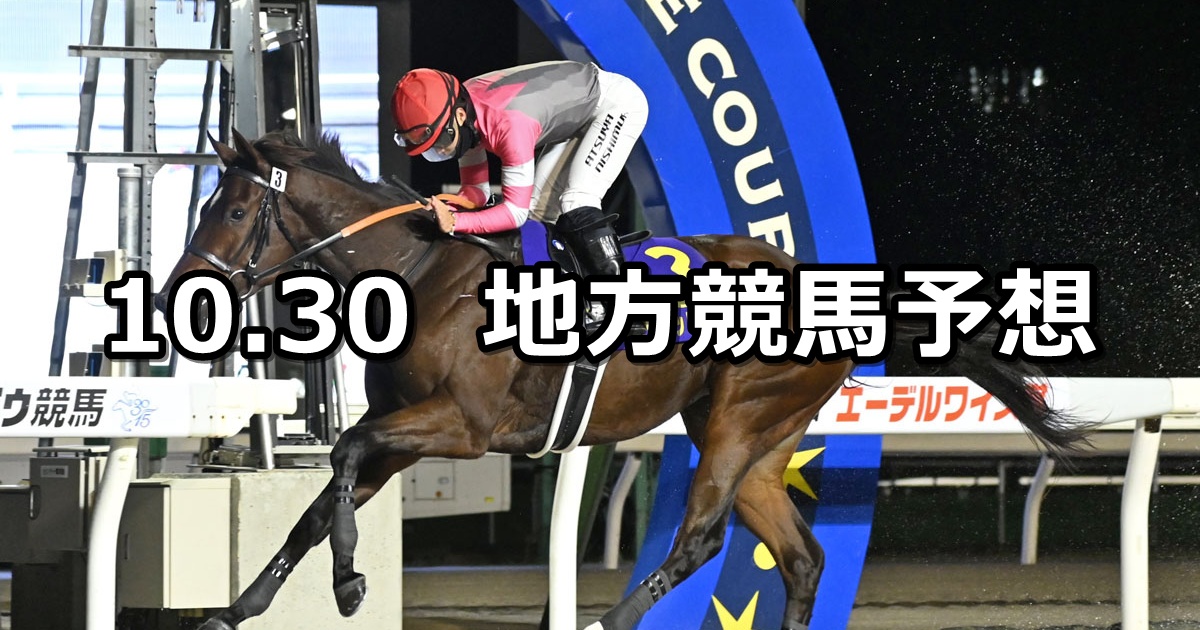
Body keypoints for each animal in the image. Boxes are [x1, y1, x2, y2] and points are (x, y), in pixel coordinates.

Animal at [154, 129, 1090, 630]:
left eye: (230, 209)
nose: (175, 293)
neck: (419, 274)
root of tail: (833, 292)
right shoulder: (407, 433)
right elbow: (321, 504)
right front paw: (237, 607)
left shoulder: (463, 425)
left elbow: (344, 452)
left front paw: (350, 585)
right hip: (759, 441)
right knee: (801, 558)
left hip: (738, 422)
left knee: (704, 540)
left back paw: (609, 619)